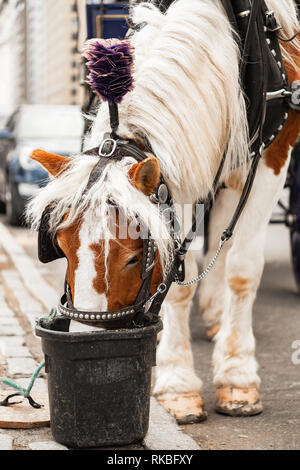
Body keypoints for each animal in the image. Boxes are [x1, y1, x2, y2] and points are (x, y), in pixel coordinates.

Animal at [26, 0, 300, 424]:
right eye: (62, 247)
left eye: (133, 257)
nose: (90, 345)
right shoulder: (178, 177)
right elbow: (178, 281)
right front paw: (178, 386)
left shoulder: (273, 155)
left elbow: (242, 272)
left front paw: (237, 378)